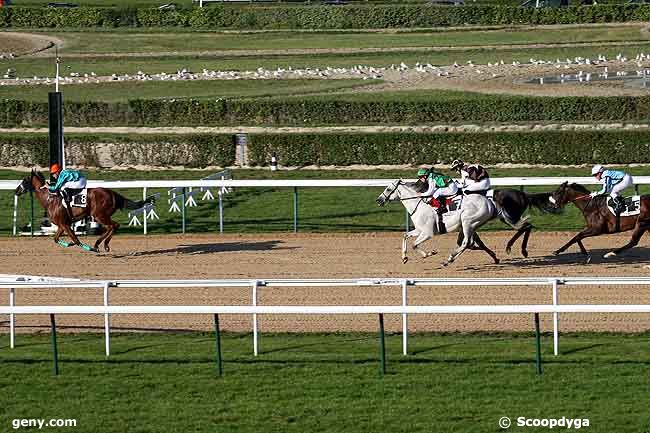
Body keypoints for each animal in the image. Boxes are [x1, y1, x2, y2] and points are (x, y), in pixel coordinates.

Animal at [13, 170, 156, 251]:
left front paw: (87, 248)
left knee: (114, 225)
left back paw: (100, 245)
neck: (50, 199)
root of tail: (112, 193)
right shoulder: (62, 224)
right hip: (101, 215)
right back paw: (100, 244)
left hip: (99, 215)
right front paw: (69, 244)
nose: (16, 190)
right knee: (111, 227)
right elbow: (56, 238)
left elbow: (76, 240)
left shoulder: (65, 224)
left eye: (25, 180)